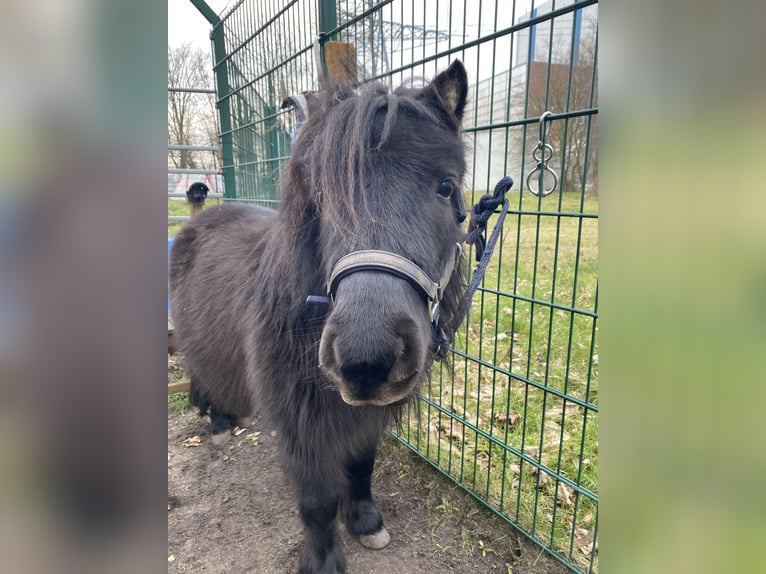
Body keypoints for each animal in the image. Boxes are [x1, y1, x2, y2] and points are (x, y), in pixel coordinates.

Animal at [171, 60, 472, 572]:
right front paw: (323, 560)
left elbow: (361, 465)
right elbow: (317, 498)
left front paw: (366, 521)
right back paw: (219, 422)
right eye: (323, 194)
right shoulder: (300, 427)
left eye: (446, 186)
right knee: (200, 372)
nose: (367, 357)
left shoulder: (364, 413)